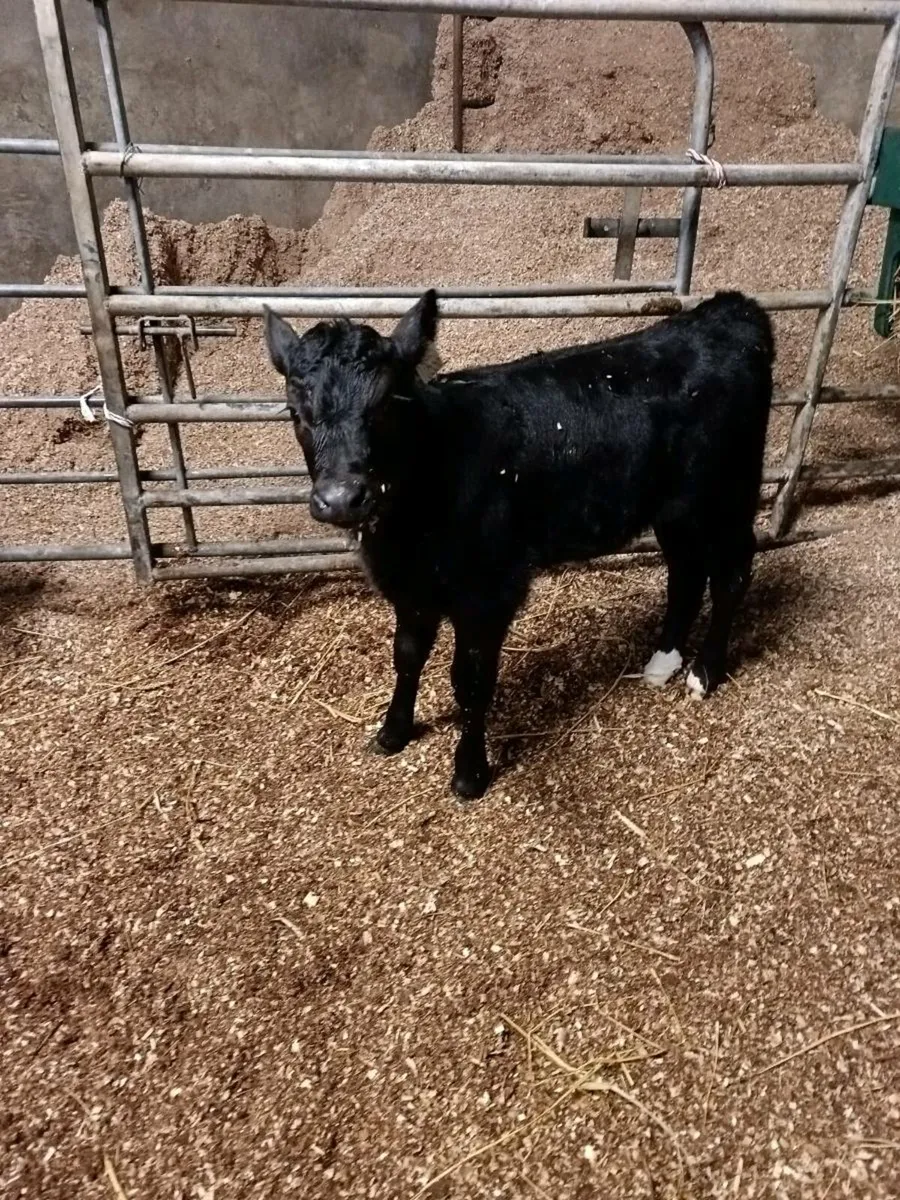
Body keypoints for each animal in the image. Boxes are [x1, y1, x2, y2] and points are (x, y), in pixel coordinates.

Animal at [264, 289, 774, 800]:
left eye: (387, 403)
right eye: (295, 412)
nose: (341, 498)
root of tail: (727, 309)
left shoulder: (490, 591)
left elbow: (470, 682)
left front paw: (469, 773)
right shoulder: (412, 589)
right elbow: (406, 656)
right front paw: (393, 732)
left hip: (727, 493)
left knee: (731, 575)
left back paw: (704, 672)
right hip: (675, 509)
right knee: (685, 573)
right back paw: (662, 662)